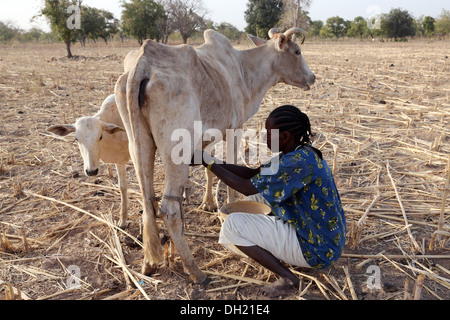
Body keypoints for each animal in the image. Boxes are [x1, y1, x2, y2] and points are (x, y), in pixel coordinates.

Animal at [114, 26, 314, 282]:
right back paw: (195, 271)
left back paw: (149, 263)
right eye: (297, 51)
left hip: (139, 145)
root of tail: (143, 62)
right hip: (175, 151)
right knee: (169, 209)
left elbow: (211, 170)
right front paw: (229, 208)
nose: (312, 78)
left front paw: (208, 203)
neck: (243, 69)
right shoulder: (234, 130)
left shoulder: (207, 139)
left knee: (147, 201)